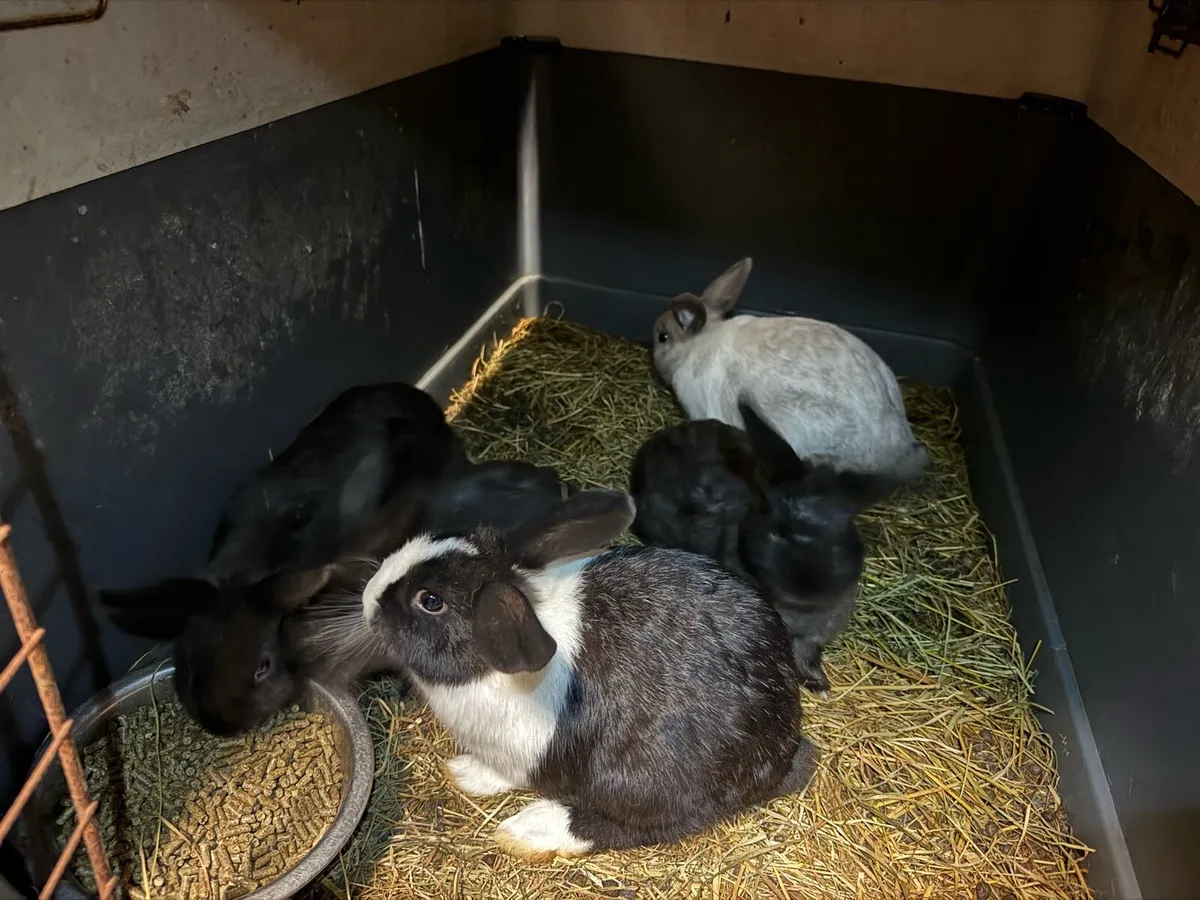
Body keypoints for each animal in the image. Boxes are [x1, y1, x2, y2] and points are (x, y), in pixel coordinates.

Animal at [360, 488, 818, 860]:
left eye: (430, 601)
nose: (368, 596)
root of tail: (785, 746)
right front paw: (463, 772)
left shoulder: (519, 753)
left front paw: (469, 776)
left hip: (643, 782)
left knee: (637, 826)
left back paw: (528, 831)